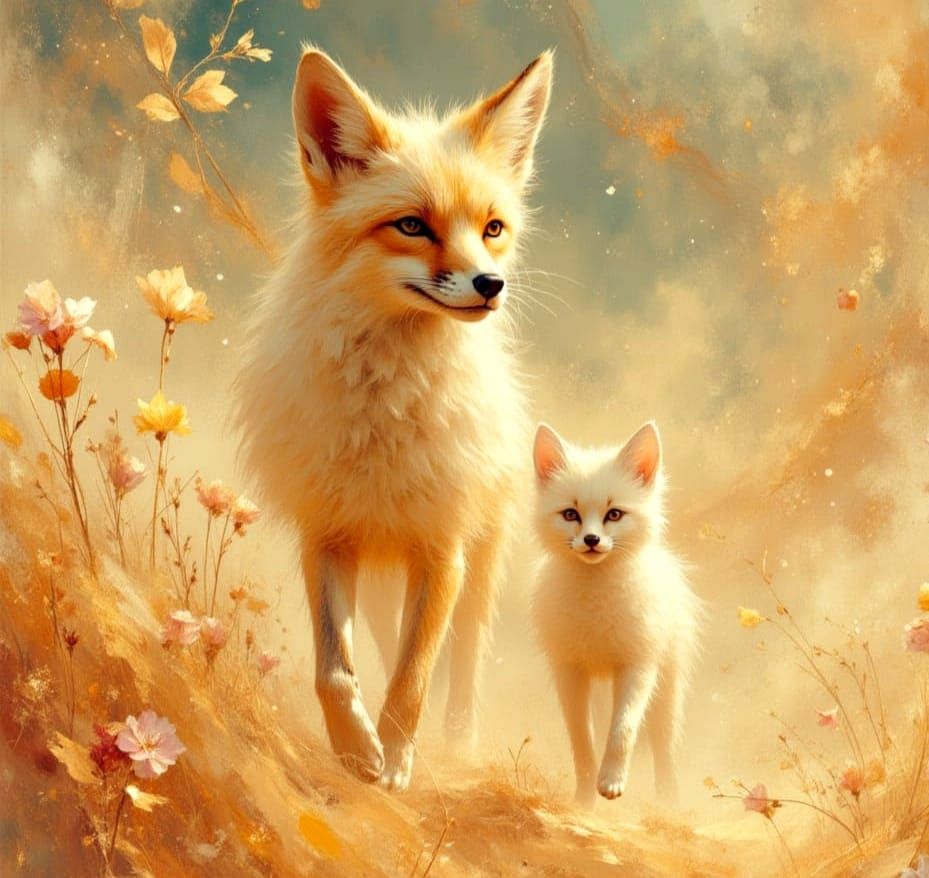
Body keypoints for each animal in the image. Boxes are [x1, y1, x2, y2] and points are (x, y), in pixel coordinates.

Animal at [233, 47, 553, 790]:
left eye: (492, 229)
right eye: (411, 225)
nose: (490, 285)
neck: (386, 409)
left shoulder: (442, 548)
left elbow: (413, 679)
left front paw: (399, 758)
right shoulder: (328, 533)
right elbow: (335, 673)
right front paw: (356, 747)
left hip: (479, 563)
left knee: (461, 667)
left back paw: (457, 743)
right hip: (382, 579)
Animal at [531, 422, 701, 805]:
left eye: (614, 514)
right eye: (570, 514)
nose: (592, 540)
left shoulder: (637, 666)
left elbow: (622, 731)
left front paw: (610, 781)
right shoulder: (570, 671)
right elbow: (581, 741)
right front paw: (584, 799)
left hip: (666, 689)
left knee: (664, 747)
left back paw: (670, 800)